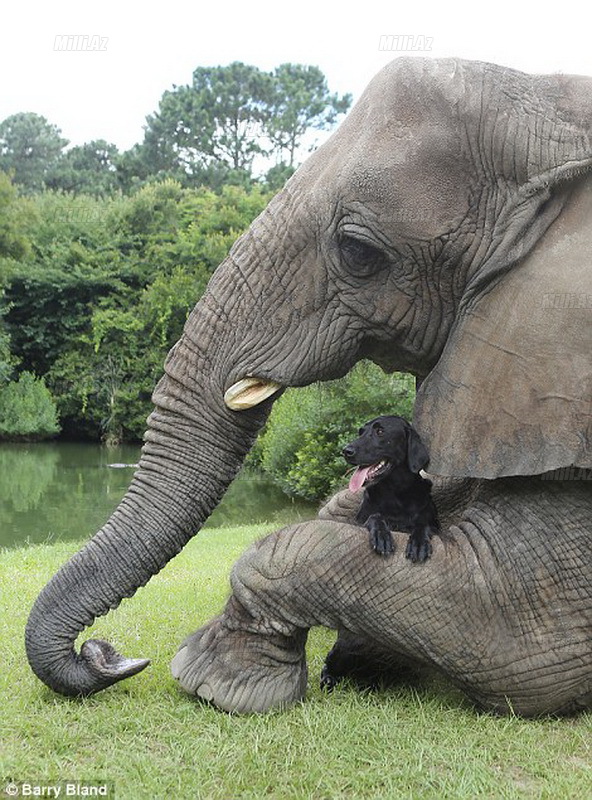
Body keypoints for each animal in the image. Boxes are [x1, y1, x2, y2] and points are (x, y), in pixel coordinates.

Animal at [344, 416, 438, 560]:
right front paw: (381, 535)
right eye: (360, 432)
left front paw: (419, 543)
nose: (345, 451)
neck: (395, 493)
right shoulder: (359, 521)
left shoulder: (436, 527)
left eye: (380, 431)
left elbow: (423, 524)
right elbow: (375, 516)